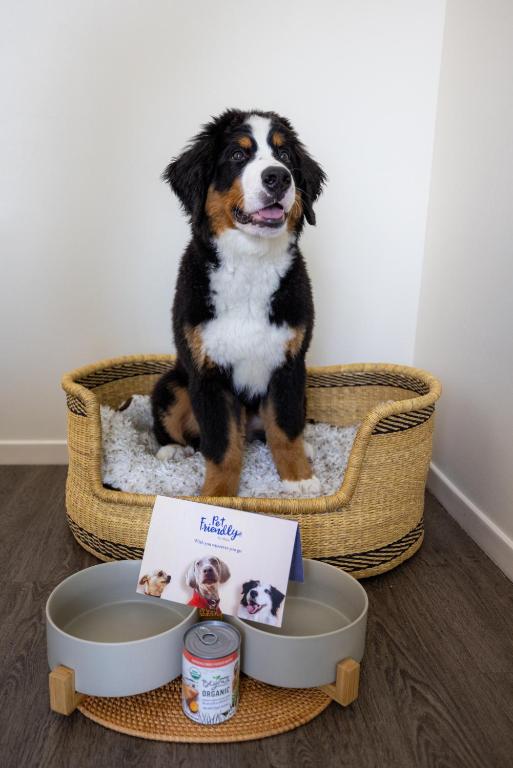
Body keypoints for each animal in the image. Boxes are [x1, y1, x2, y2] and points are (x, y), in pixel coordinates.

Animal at [152, 109, 326, 497]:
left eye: (285, 155)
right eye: (236, 155)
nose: (278, 177)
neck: (251, 264)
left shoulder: (290, 364)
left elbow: (285, 429)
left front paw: (298, 478)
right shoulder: (207, 373)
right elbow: (222, 445)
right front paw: (216, 496)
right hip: (172, 383)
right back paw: (171, 450)